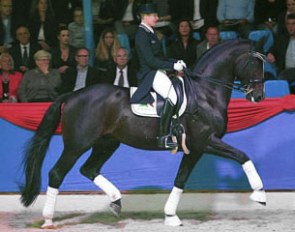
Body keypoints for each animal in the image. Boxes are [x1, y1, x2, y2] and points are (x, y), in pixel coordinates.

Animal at [19, 39, 268, 227]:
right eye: (254, 63)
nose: (258, 96)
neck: (205, 93)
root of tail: (71, 95)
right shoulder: (207, 141)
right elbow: (243, 156)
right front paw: (260, 194)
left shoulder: (195, 148)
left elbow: (180, 179)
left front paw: (171, 216)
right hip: (77, 144)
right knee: (56, 173)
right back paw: (48, 219)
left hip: (107, 143)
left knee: (88, 169)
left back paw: (116, 201)